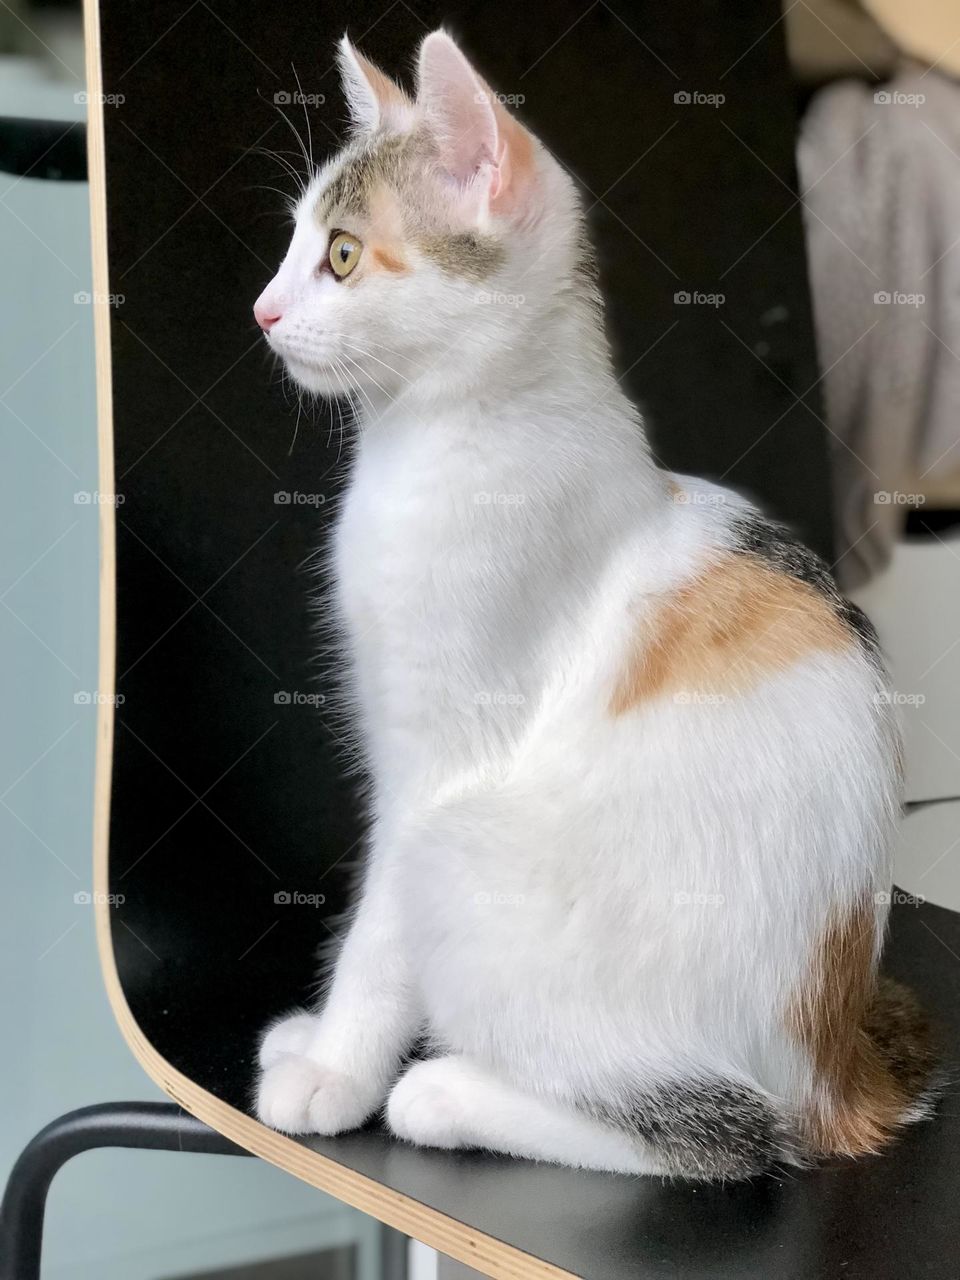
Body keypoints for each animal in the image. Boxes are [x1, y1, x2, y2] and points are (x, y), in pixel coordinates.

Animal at [252, 27, 942, 1177]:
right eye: (294, 241)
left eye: (341, 255)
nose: (260, 309)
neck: (441, 434)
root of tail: (837, 1072)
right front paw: (319, 1040)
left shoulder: (439, 759)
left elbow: (377, 933)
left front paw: (336, 1067)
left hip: (466, 850)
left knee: (730, 1132)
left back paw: (446, 1092)